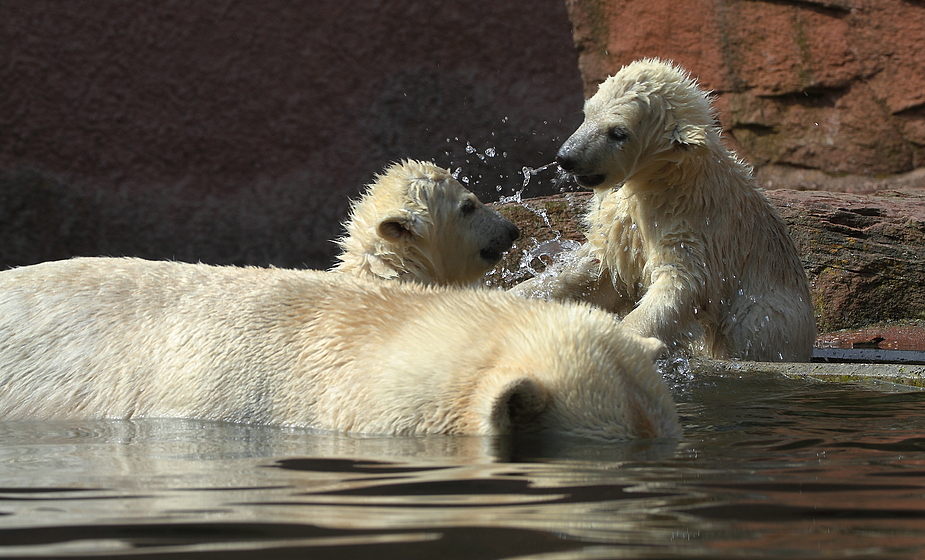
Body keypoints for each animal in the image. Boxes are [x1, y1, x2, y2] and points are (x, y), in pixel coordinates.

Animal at [512, 59, 816, 360]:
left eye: (618, 133)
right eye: (587, 114)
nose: (567, 157)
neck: (668, 180)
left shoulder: (695, 224)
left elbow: (680, 283)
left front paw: (627, 339)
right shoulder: (624, 221)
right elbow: (596, 271)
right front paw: (522, 295)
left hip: (770, 315)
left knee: (750, 324)